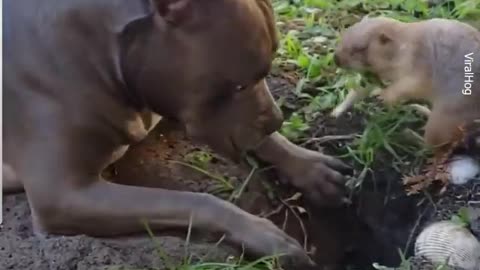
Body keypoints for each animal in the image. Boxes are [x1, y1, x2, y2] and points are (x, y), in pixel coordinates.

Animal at [1, 0, 350, 266]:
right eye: (239, 85)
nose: (276, 121)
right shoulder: (64, 195)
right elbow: (196, 200)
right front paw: (264, 235)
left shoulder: (169, 107)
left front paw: (308, 165)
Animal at [334, 16, 480, 152]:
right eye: (344, 34)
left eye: (360, 48)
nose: (336, 59)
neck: (403, 44)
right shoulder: (377, 73)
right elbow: (361, 89)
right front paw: (336, 111)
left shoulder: (421, 62)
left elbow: (410, 85)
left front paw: (384, 96)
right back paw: (421, 109)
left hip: (445, 116)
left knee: (433, 146)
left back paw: (410, 134)